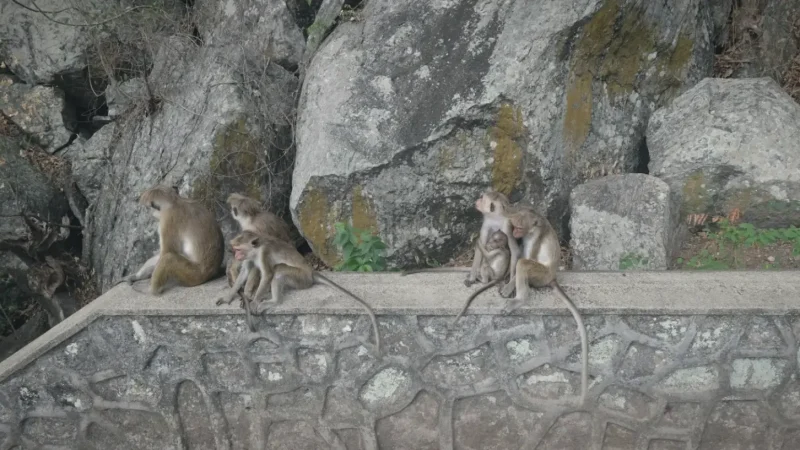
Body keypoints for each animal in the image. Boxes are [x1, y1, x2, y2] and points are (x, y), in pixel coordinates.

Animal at [216, 231, 381, 352]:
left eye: (238, 249)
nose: (236, 255)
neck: (256, 250)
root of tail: (311, 272)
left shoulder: (264, 253)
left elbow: (268, 274)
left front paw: (255, 301)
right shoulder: (249, 257)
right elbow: (245, 272)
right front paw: (229, 297)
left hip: (300, 278)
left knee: (279, 270)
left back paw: (274, 301)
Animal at [498, 206, 589, 405]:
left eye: (519, 227)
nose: (514, 232)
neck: (533, 227)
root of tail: (552, 277)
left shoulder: (536, 237)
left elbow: (526, 258)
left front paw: (511, 286)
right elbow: (519, 254)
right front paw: (508, 285)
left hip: (542, 275)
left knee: (525, 264)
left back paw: (521, 299)